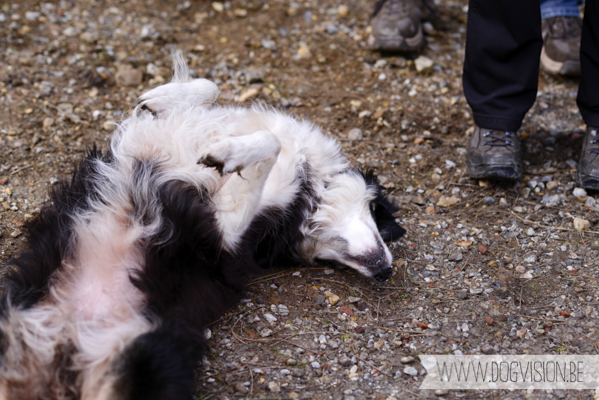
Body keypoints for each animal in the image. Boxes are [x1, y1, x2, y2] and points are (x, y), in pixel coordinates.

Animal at [0, 56, 406, 400]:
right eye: (380, 220)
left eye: (325, 264)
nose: (386, 271)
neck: (307, 190)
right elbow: (212, 89)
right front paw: (158, 98)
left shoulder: (224, 235)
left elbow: (267, 144)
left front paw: (228, 154)